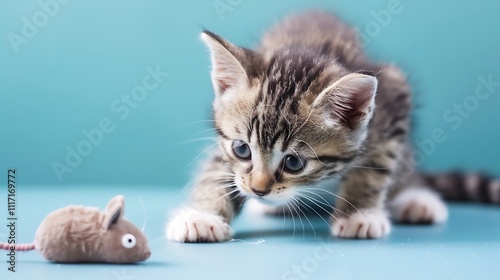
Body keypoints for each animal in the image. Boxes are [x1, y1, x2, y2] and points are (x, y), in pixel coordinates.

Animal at [165, 10, 500, 242]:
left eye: (294, 163)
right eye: (242, 149)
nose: (258, 191)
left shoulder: (395, 97)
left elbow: (374, 167)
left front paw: (358, 215)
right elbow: (218, 169)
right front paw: (202, 215)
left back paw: (416, 199)